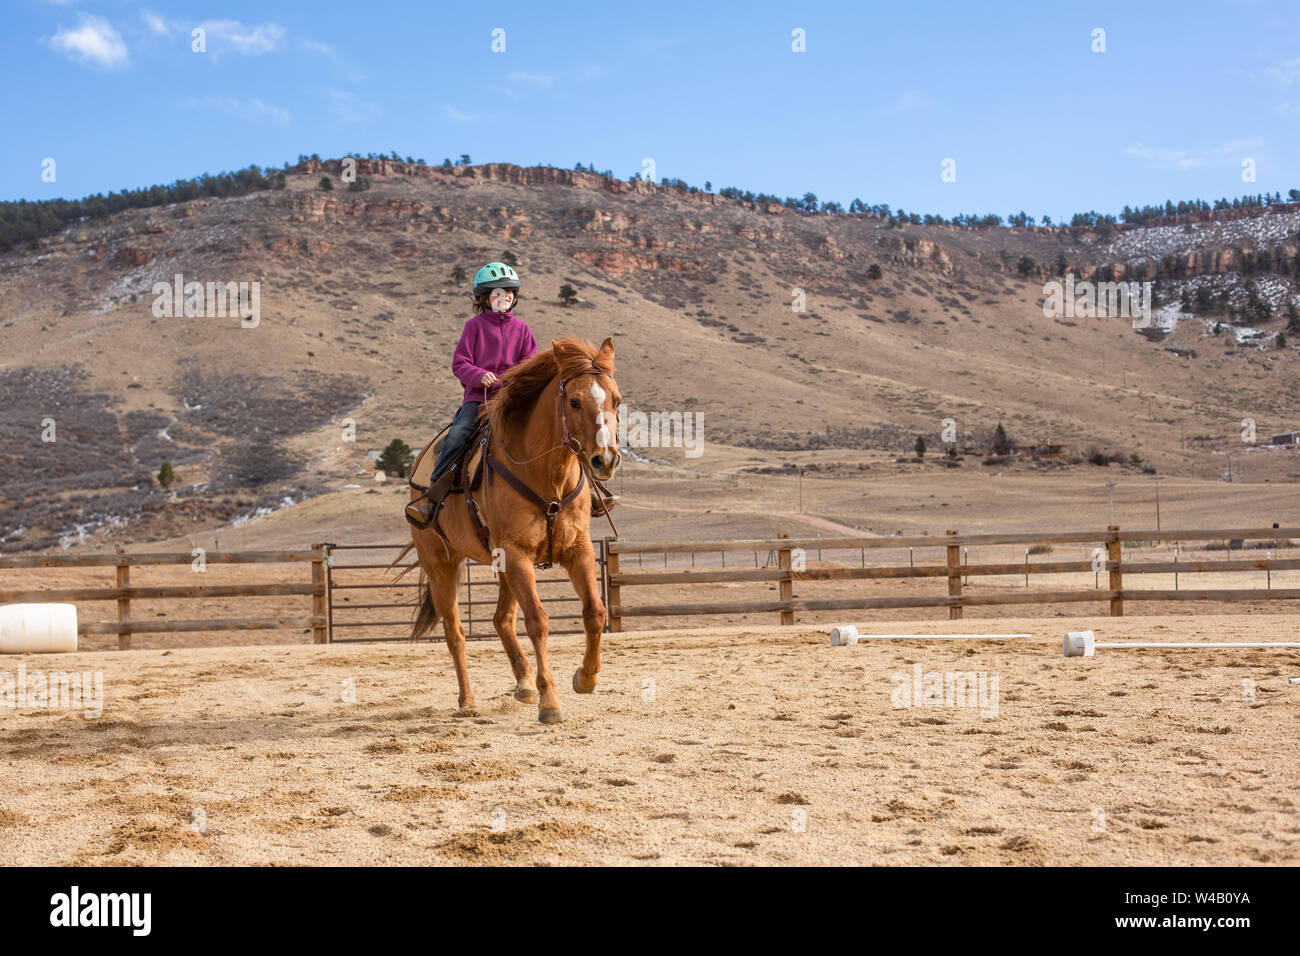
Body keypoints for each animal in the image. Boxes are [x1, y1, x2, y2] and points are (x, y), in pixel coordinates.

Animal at [403, 340, 621, 723]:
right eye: (574, 401)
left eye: (617, 400)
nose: (605, 460)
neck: (547, 475)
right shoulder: (517, 554)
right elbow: (538, 621)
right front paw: (550, 702)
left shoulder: (576, 549)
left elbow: (595, 612)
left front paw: (585, 678)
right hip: (441, 564)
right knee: (455, 632)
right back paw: (468, 700)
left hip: (501, 565)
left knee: (502, 619)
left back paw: (524, 685)